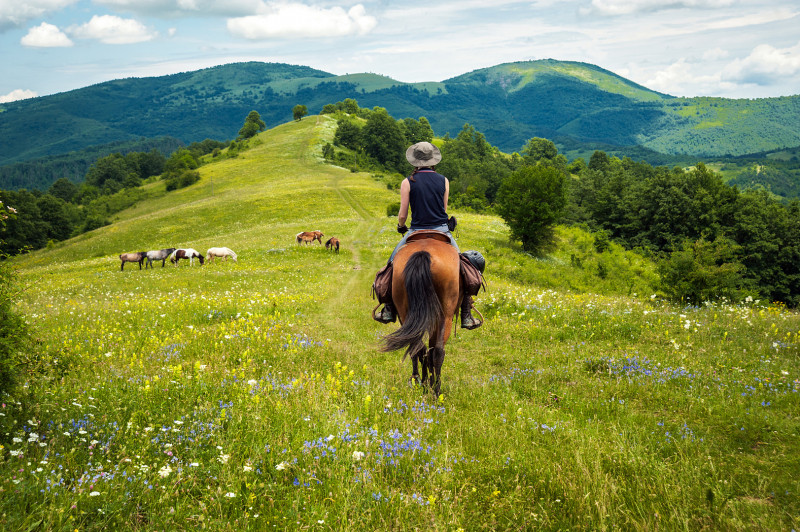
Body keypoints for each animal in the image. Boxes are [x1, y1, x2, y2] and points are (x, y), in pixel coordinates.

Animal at [382, 233, 462, 394]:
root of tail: (423, 252)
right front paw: (429, 382)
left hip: (408, 313)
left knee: (421, 348)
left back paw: (423, 383)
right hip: (445, 315)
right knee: (435, 351)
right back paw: (432, 389)